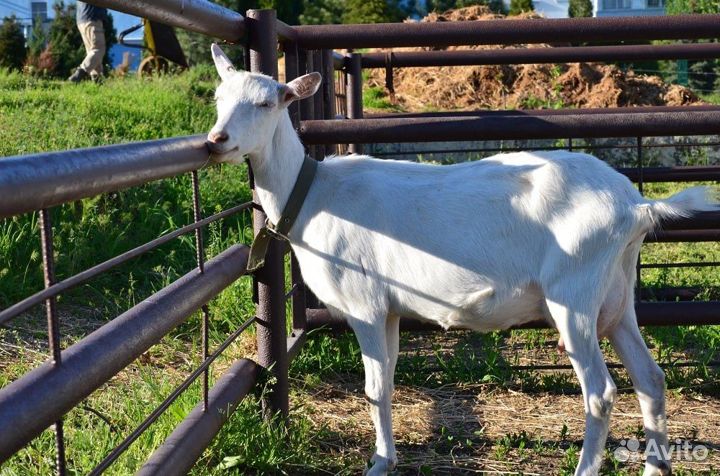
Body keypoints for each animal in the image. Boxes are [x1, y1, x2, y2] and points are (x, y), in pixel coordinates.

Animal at [206, 44, 717, 476]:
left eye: (269, 102)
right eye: (218, 96)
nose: (216, 139)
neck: (311, 196)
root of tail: (636, 205)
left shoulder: (364, 304)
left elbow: (373, 388)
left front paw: (378, 462)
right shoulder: (390, 309)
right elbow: (386, 382)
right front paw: (388, 456)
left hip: (573, 293)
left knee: (601, 392)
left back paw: (586, 467)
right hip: (616, 295)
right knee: (650, 377)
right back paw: (654, 466)